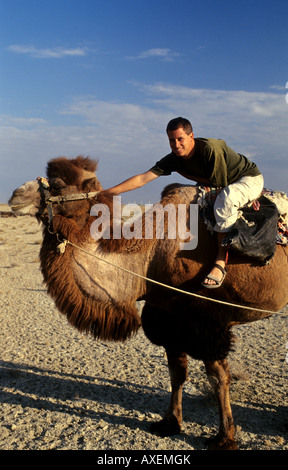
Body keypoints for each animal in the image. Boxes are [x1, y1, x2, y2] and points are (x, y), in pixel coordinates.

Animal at [9, 156, 288, 450]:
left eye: (59, 184)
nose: (15, 195)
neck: (149, 260)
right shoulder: (167, 316)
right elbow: (177, 372)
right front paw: (169, 424)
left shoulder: (207, 322)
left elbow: (219, 377)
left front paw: (224, 438)